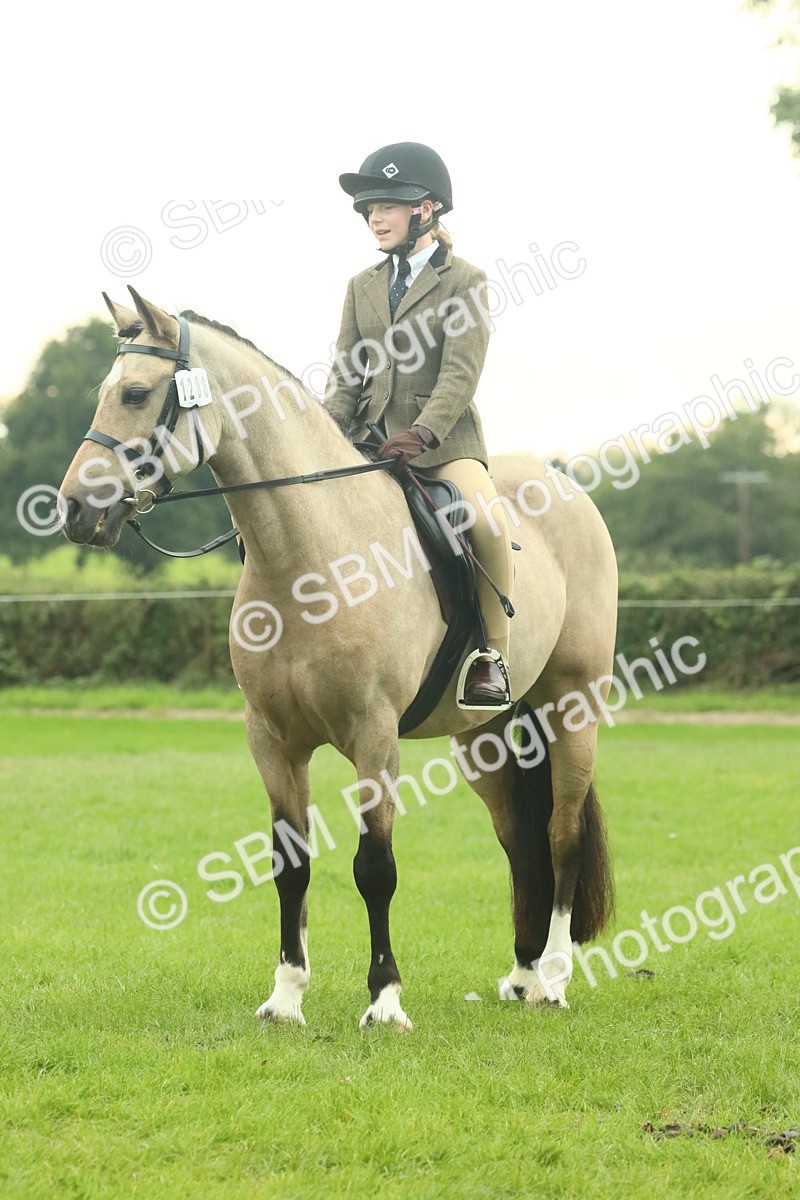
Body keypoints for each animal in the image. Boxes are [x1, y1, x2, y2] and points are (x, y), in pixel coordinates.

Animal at [58, 286, 617, 1030]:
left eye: (137, 393)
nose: (73, 510)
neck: (308, 555)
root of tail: (569, 489)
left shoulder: (373, 737)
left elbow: (374, 868)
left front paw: (384, 1000)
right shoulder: (273, 740)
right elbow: (289, 864)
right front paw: (285, 996)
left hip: (570, 707)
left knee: (561, 835)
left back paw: (553, 978)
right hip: (486, 736)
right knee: (519, 841)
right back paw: (523, 975)